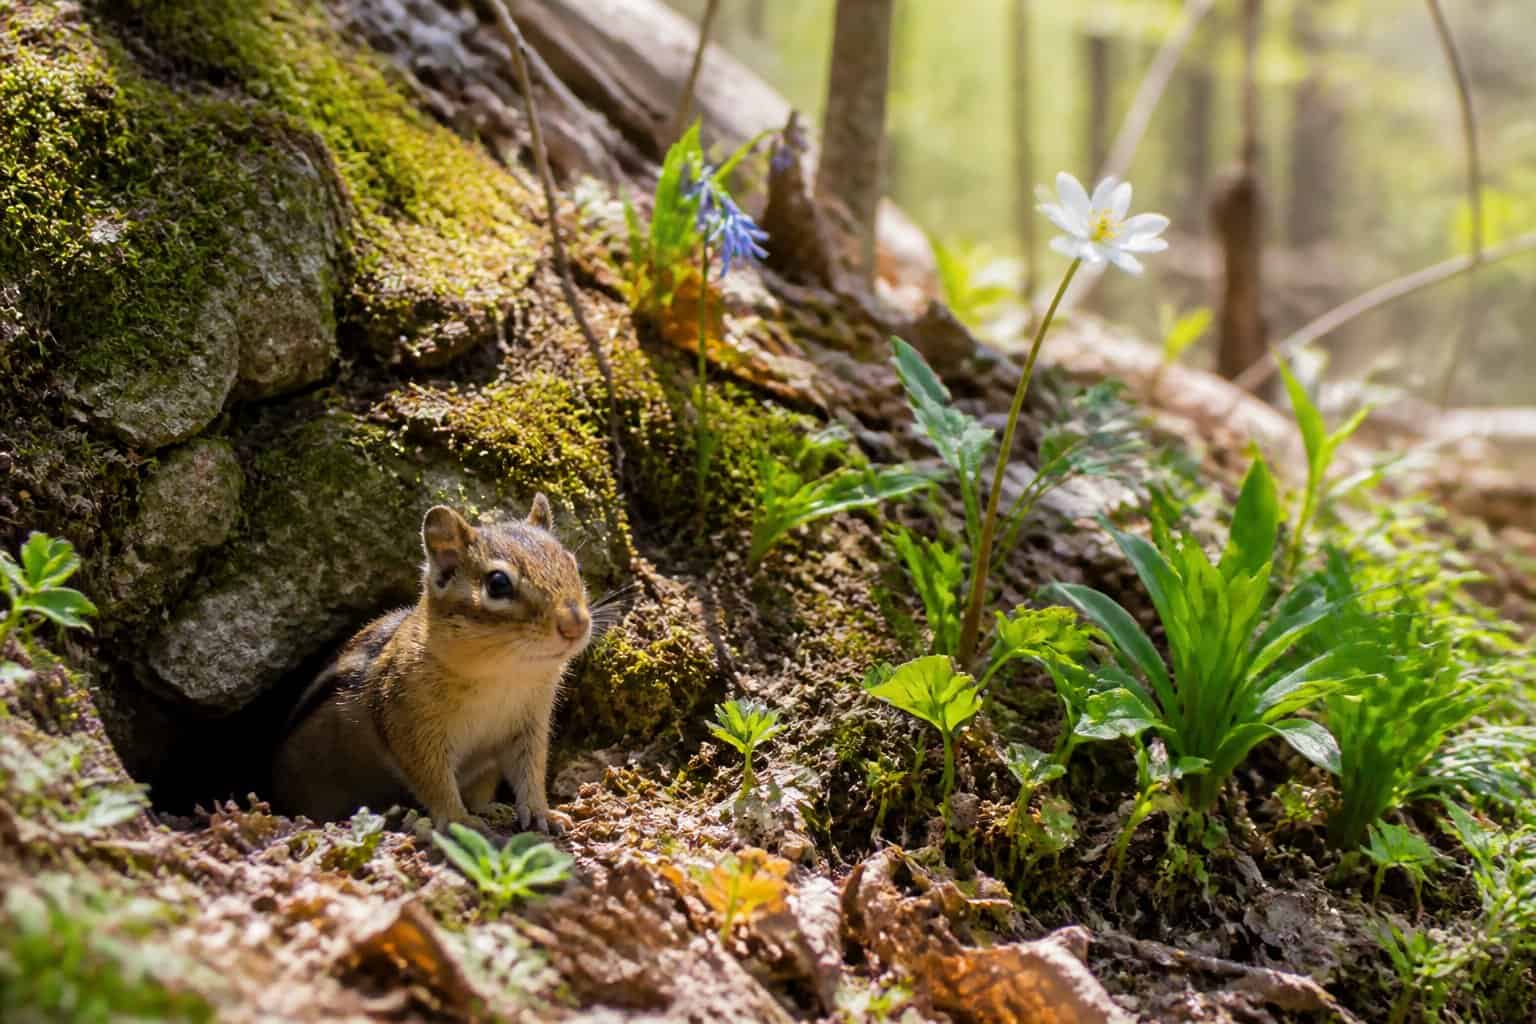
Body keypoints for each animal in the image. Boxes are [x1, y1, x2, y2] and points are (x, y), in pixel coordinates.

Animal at [272, 495, 591, 834]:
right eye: (498, 583)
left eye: (573, 564)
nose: (575, 624)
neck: (503, 674)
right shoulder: (411, 728)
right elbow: (434, 779)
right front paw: (457, 818)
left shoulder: (529, 725)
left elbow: (530, 772)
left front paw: (542, 812)